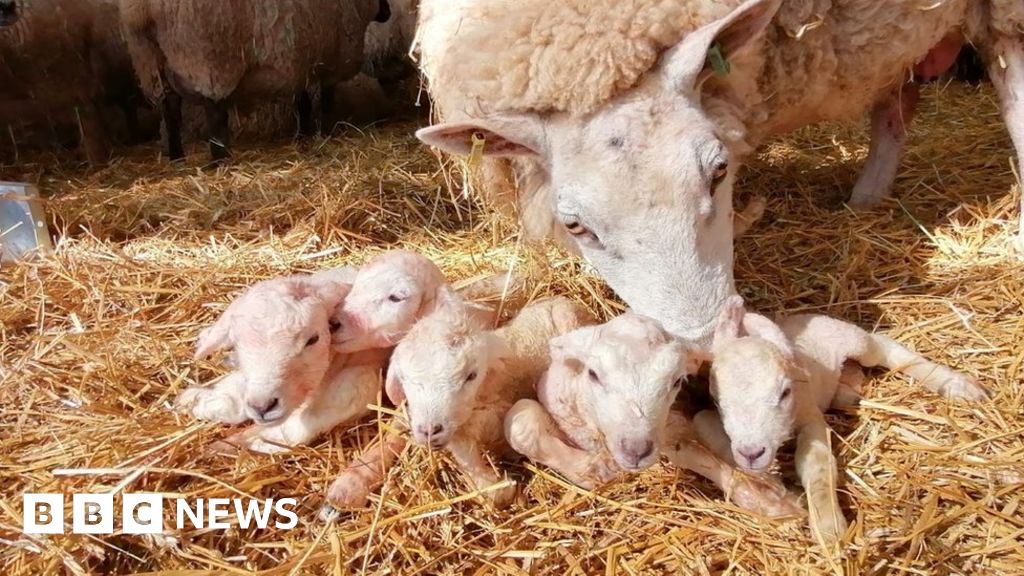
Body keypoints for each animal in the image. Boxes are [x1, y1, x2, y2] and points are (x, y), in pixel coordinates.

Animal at [119, 0, 390, 162]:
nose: (387, 13)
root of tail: (142, 11)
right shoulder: (328, 59)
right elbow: (323, 102)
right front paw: (324, 132)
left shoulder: (298, 63)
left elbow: (302, 102)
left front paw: (303, 136)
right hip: (206, 56)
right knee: (214, 109)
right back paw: (219, 159)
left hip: (150, 61)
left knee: (170, 110)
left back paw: (177, 156)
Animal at [176, 266, 390, 454]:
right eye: (237, 341)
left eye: (313, 339)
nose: (262, 407)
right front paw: (193, 400)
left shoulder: (359, 378)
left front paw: (256, 441)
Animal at [504, 313, 804, 518]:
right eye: (593, 374)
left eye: (677, 381)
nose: (635, 450)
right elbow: (519, 422)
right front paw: (596, 469)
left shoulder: (673, 428)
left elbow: (696, 454)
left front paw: (775, 500)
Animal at [696, 296, 989, 544]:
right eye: (717, 400)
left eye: (785, 392)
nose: (752, 452)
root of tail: (804, 317)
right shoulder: (708, 415)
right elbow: (702, 422)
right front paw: (767, 478)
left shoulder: (810, 414)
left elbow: (817, 462)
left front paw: (829, 527)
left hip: (854, 340)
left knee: (882, 346)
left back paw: (956, 384)